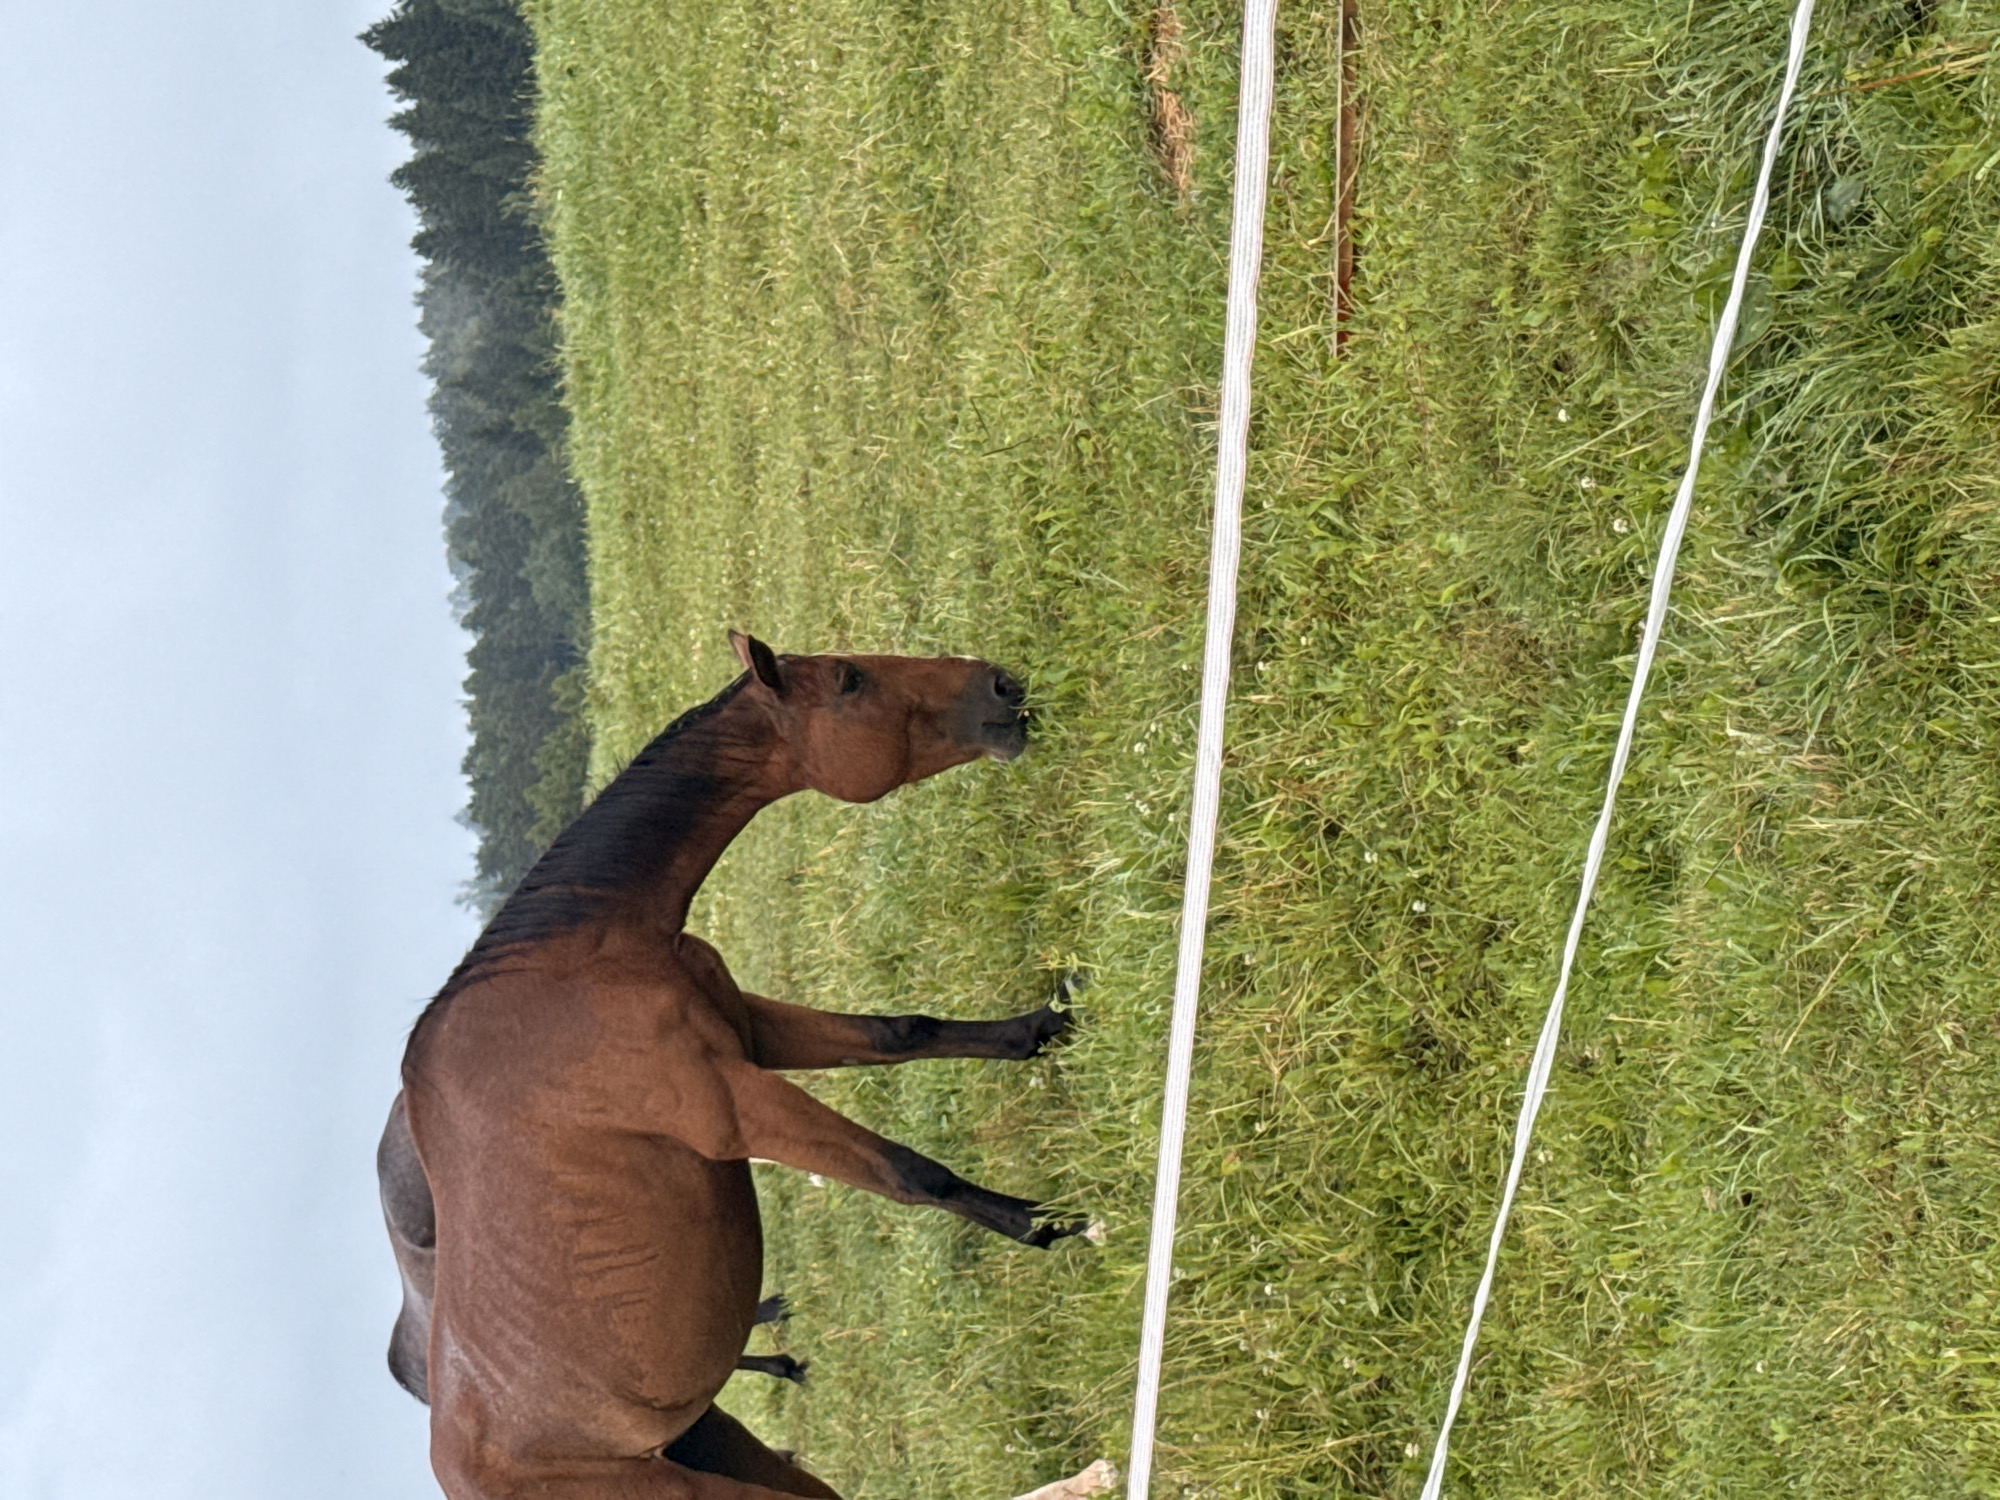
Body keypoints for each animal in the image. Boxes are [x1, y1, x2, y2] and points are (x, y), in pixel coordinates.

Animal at [381, 633, 1084, 1500]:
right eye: (851, 680)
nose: (1002, 684)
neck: (582, 962)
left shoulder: (753, 1030)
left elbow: (902, 1031)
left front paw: (1047, 1026)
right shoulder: (731, 1101)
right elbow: (910, 1174)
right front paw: (1047, 1223)